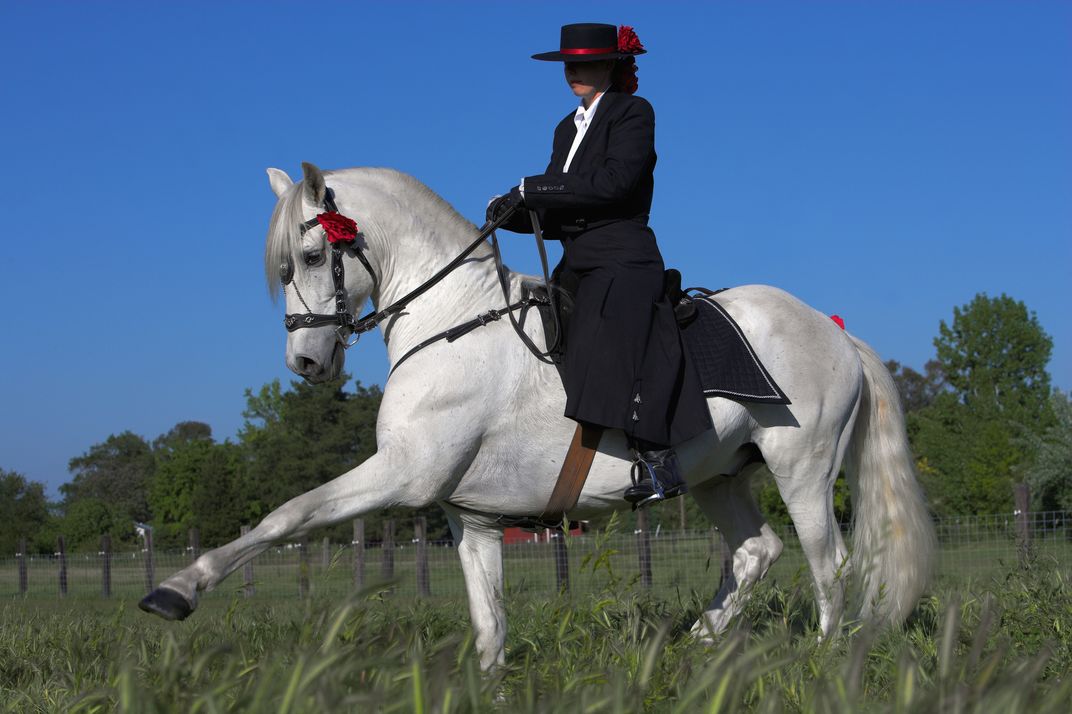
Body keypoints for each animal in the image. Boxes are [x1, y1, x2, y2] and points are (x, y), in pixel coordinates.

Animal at [140, 162, 935, 670]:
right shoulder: (471, 517)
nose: (305, 364)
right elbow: (488, 622)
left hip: (801, 467)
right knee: (754, 553)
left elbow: (288, 515)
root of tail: (834, 330)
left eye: (310, 256)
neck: (452, 320)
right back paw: (696, 649)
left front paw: (177, 591)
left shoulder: (402, 475)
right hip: (718, 476)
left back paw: (824, 660)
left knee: (828, 563)